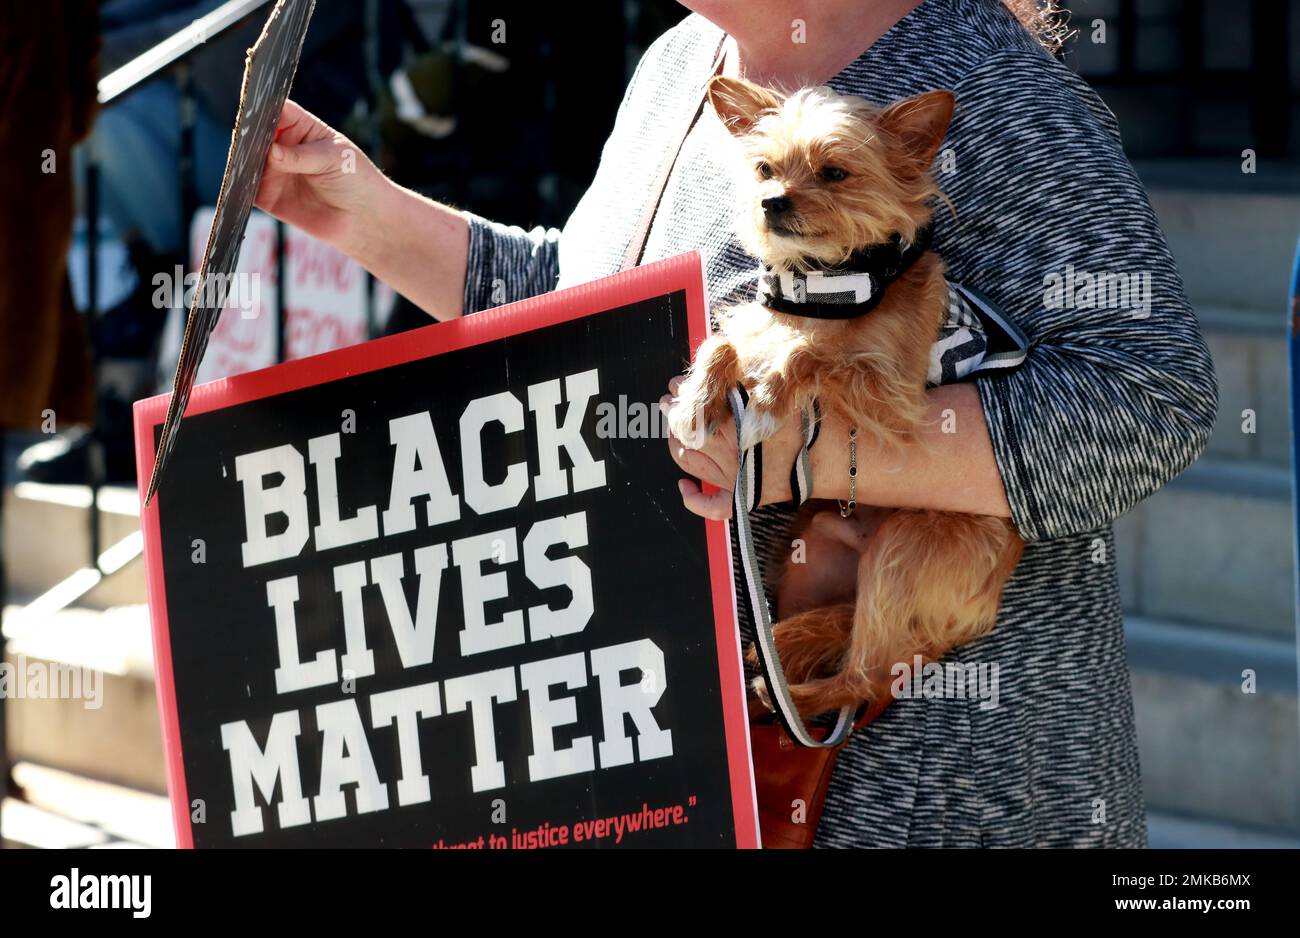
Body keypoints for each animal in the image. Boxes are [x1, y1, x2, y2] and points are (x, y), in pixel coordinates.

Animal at [670, 76, 1024, 722]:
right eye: (764, 169)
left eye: (834, 173)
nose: (772, 201)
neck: (824, 286)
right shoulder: (759, 325)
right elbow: (727, 343)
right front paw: (699, 397)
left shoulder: (896, 398)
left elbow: (813, 358)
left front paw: (769, 397)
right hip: (816, 551)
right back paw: (767, 667)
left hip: (903, 549)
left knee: (867, 678)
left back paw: (782, 696)